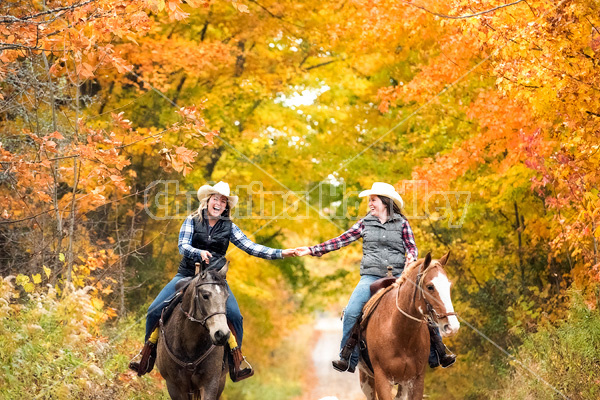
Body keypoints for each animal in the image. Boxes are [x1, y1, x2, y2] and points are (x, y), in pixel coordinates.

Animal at [358, 252, 462, 398]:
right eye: (430, 287)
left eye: (449, 285)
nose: (452, 326)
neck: (399, 333)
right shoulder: (382, 380)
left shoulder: (416, 379)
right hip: (366, 380)